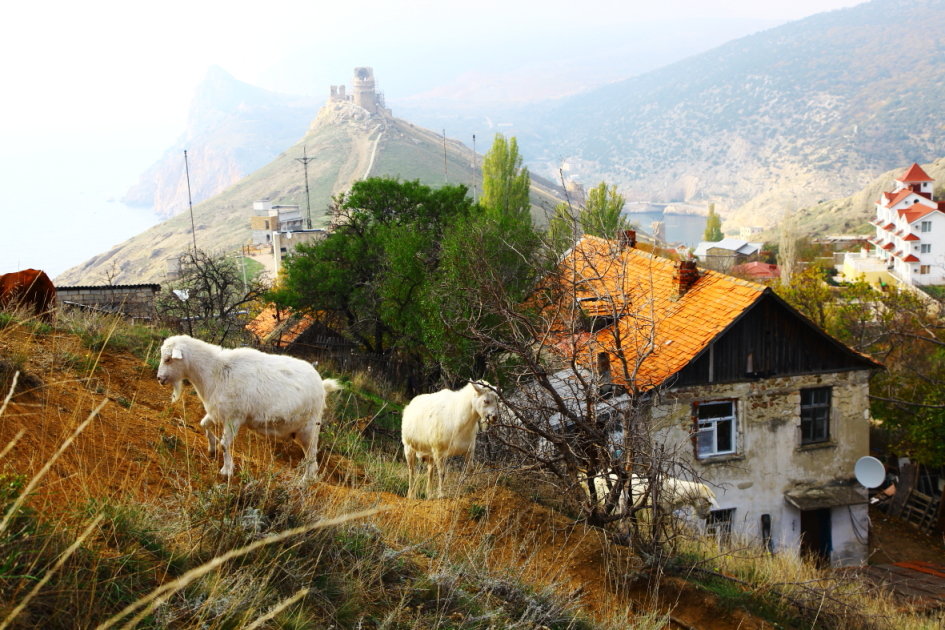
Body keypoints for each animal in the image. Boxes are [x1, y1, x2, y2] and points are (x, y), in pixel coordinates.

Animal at [157, 336, 342, 478]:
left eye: (168, 359)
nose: (159, 378)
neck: (216, 371)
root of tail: (322, 385)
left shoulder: (234, 418)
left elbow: (225, 444)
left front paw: (226, 470)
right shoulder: (217, 413)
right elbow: (204, 425)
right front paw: (212, 448)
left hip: (310, 428)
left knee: (312, 459)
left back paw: (304, 483)